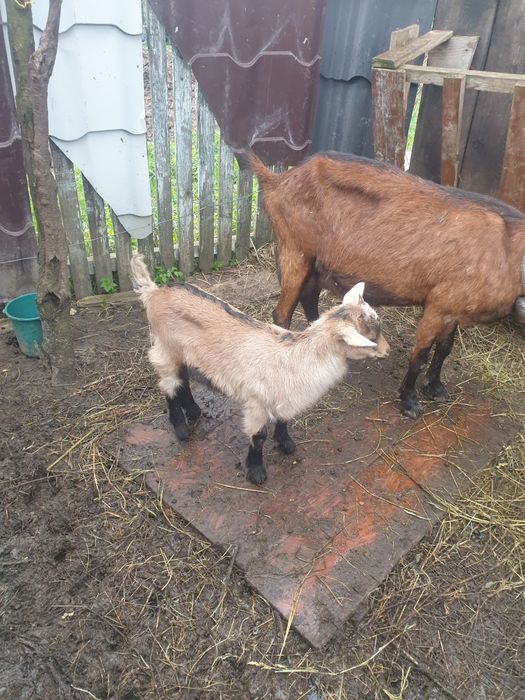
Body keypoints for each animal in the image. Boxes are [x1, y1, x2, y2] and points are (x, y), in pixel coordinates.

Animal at [131, 254, 389, 484]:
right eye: (370, 337)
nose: (387, 351)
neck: (296, 357)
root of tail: (153, 292)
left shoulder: (285, 397)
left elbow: (284, 419)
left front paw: (286, 444)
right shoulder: (256, 402)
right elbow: (259, 436)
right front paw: (256, 472)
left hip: (184, 354)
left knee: (182, 380)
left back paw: (193, 411)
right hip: (166, 348)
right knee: (169, 384)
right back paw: (182, 429)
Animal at [243, 151, 525, 419]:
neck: (507, 249)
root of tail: (278, 180)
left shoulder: (453, 307)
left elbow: (445, 348)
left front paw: (435, 388)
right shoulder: (437, 307)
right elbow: (420, 354)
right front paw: (409, 402)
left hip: (317, 266)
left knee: (310, 298)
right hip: (295, 252)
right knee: (281, 313)